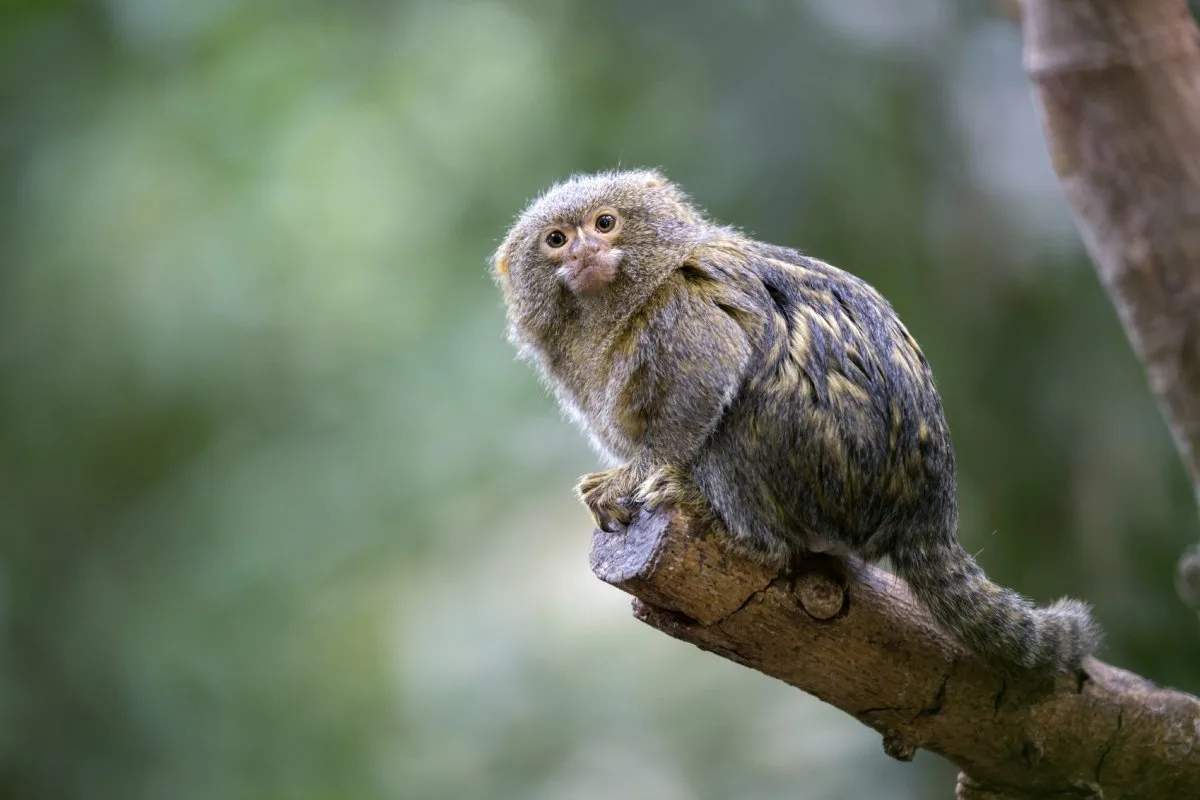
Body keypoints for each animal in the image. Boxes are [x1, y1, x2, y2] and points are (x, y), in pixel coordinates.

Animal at [491, 168, 1101, 674]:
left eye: (605, 223)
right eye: (556, 240)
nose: (585, 250)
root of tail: (927, 509)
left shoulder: (685, 306)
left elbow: (699, 393)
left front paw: (633, 478)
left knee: (743, 423)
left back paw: (729, 526)